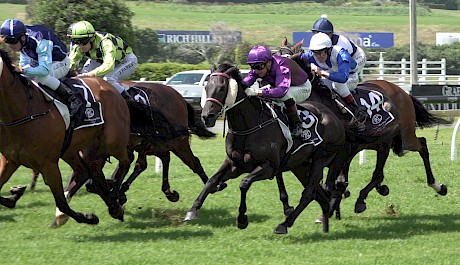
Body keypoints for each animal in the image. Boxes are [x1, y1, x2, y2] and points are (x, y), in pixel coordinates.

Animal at [0, 47, 129, 225]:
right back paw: (114, 205)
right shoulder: (10, 159)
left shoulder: (48, 164)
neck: (23, 112)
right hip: (75, 148)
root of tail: (109, 85)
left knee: (126, 161)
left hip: (113, 141)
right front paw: (15, 193)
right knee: (89, 171)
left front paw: (89, 217)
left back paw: (116, 192)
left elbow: (61, 202)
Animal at [183, 63, 348, 232]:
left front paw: (242, 219)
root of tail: (335, 118)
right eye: (206, 86)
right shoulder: (234, 164)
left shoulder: (269, 167)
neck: (250, 126)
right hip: (300, 165)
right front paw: (192, 210)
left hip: (320, 159)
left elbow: (244, 183)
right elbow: (212, 181)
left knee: (308, 193)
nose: (206, 116)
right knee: (320, 196)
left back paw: (284, 224)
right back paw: (324, 227)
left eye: (222, 88)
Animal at [276, 37, 450, 216]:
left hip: (402, 137)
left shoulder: (338, 149)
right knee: (379, 171)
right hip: (378, 142)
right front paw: (287, 205)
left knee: (420, 146)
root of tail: (402, 91)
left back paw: (437, 186)